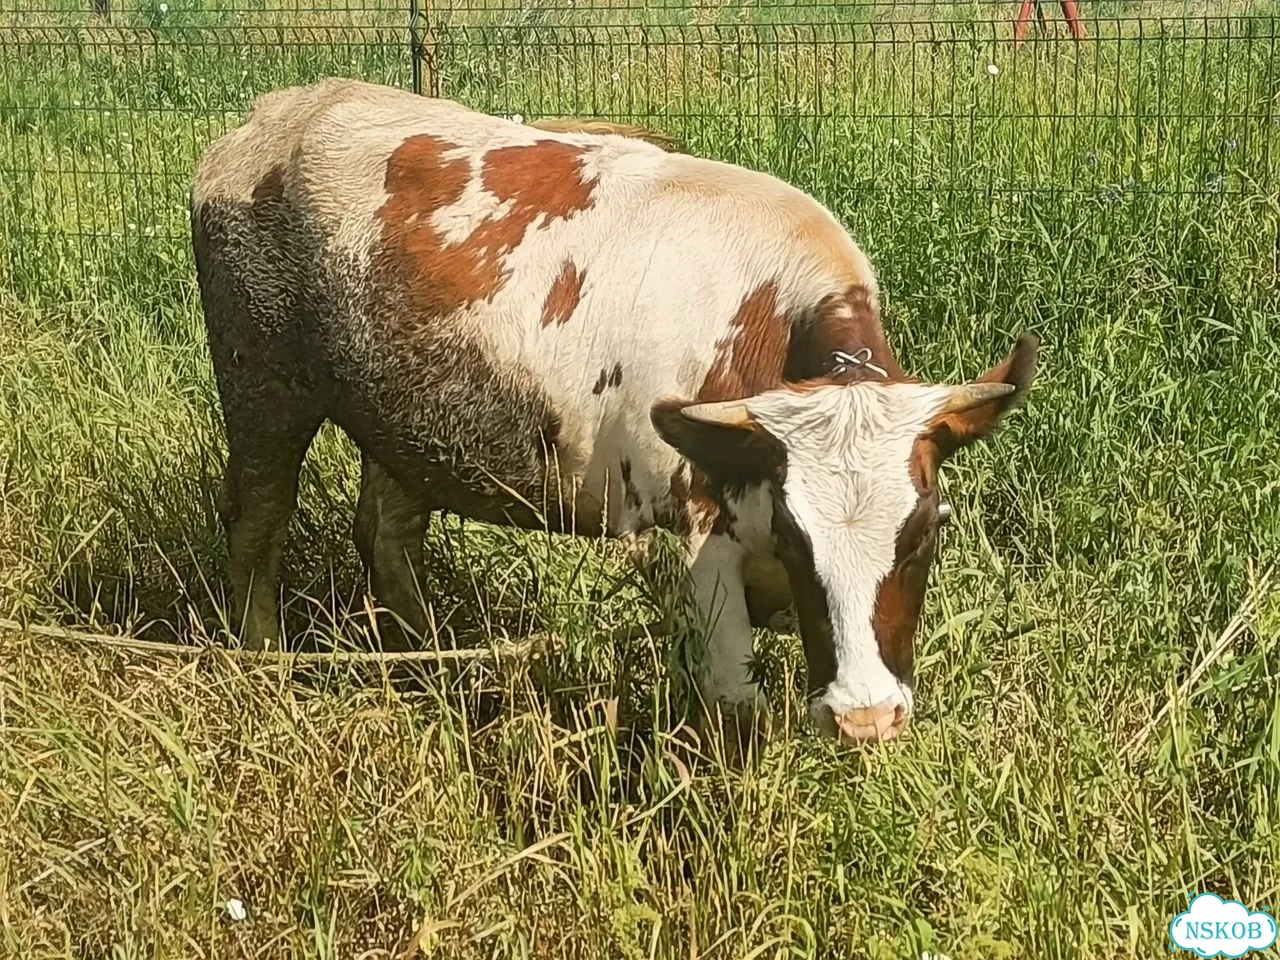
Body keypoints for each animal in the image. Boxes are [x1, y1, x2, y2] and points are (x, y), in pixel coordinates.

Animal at [189, 78, 1037, 745]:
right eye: (798, 537)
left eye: (927, 531)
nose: (866, 716)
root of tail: (279, 111)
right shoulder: (692, 540)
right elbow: (734, 704)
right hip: (262, 382)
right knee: (258, 520)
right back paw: (262, 661)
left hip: (404, 412)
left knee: (387, 533)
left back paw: (433, 664)